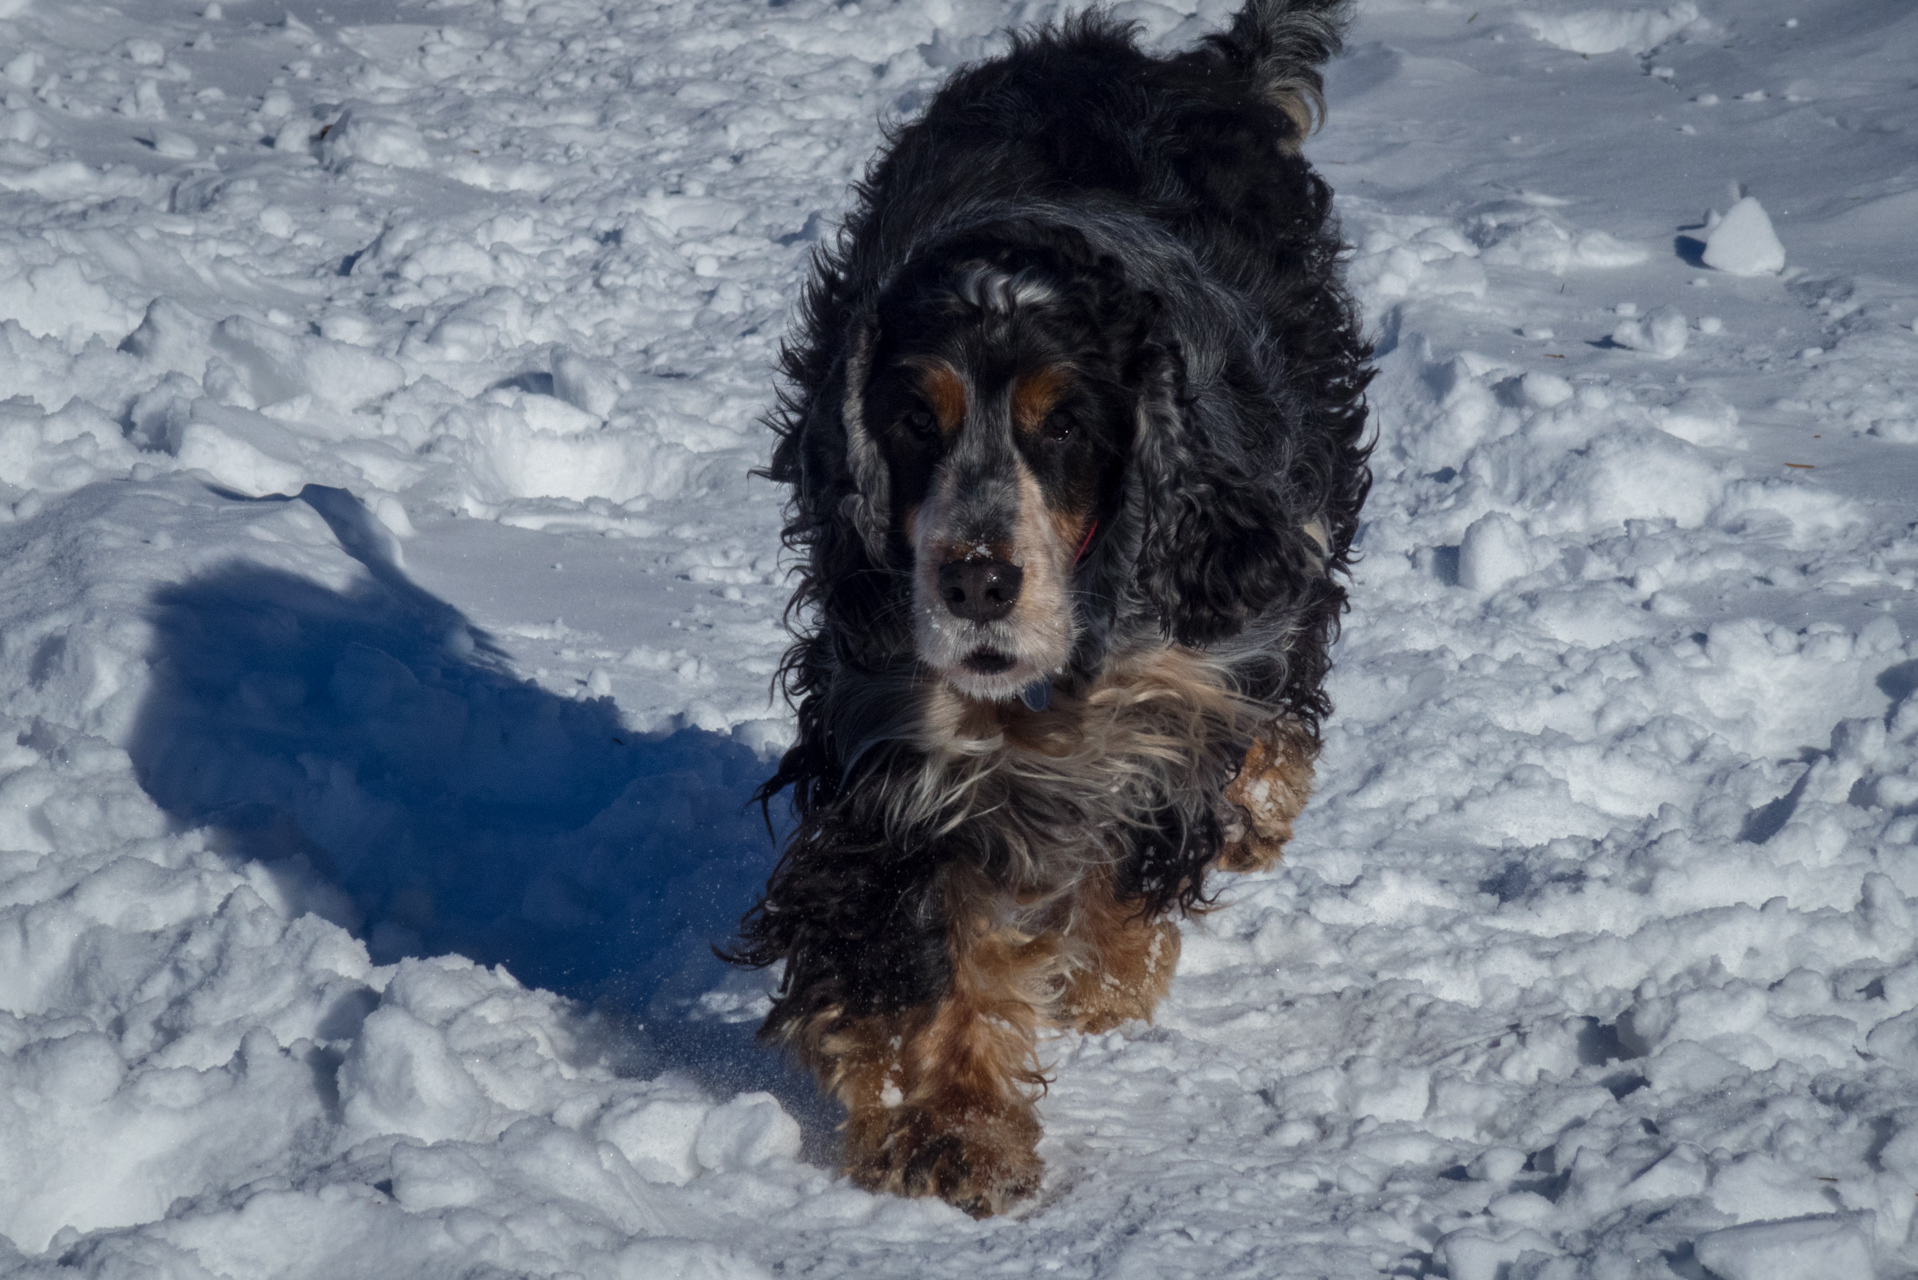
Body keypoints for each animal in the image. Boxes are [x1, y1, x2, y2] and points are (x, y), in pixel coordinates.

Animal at [725, 0, 1373, 1220]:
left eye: (1065, 423)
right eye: (912, 420)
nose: (977, 580)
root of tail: (1185, 67)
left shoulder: (1182, 688)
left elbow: (1145, 836)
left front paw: (1101, 986)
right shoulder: (897, 749)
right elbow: (927, 941)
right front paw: (952, 1131)